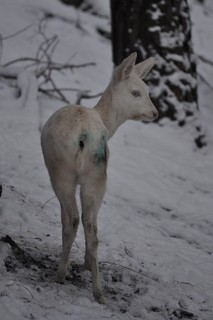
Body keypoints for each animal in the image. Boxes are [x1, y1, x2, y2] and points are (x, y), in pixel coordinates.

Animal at [41, 52, 158, 302]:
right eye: (137, 92)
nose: (155, 113)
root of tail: (84, 137)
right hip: (98, 173)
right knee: (91, 225)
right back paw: (98, 291)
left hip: (60, 170)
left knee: (72, 218)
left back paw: (60, 274)